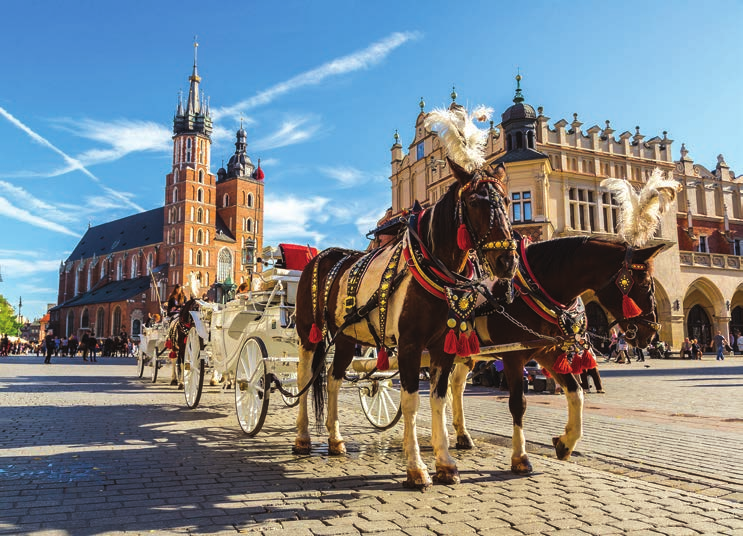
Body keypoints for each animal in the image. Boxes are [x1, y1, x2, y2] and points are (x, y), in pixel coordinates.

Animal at [294, 157, 520, 488]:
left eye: (506, 201)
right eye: (474, 201)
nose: (507, 261)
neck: (432, 267)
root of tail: (321, 255)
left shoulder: (443, 347)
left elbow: (438, 399)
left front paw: (445, 463)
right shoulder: (410, 346)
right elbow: (412, 401)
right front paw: (416, 468)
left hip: (346, 337)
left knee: (334, 379)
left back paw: (335, 440)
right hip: (308, 333)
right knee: (304, 379)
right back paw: (302, 438)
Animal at [450, 236, 664, 474]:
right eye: (645, 285)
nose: (651, 332)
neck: (531, 290)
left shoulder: (547, 351)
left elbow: (576, 392)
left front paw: (565, 442)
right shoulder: (514, 356)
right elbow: (518, 404)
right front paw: (520, 457)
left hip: (466, 354)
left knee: (455, 386)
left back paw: (462, 435)